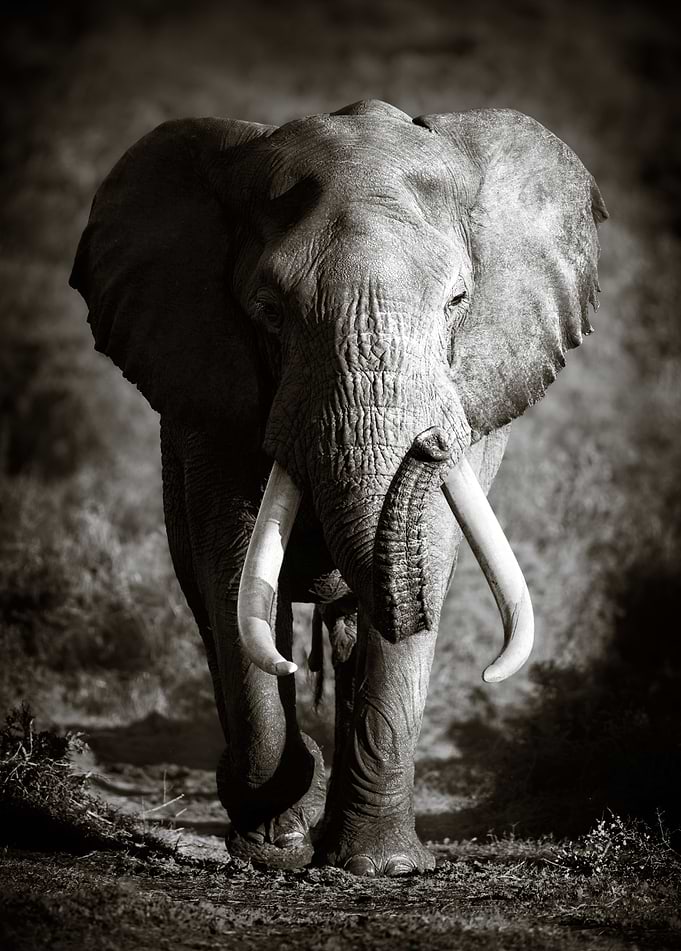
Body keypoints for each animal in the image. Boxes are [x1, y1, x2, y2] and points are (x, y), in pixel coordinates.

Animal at [70, 98, 607, 876]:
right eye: (268, 310)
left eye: (458, 301)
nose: (430, 443)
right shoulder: (209, 396)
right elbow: (231, 568)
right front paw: (272, 849)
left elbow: (427, 555)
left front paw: (382, 867)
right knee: (211, 604)